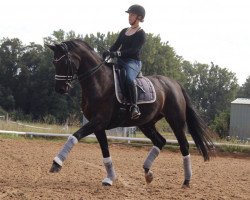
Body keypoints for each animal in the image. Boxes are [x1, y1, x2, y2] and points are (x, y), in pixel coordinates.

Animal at [47, 39, 215, 188]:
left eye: (64, 62)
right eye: (54, 63)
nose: (59, 89)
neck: (99, 82)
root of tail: (174, 83)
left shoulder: (99, 121)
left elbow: (74, 135)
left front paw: (56, 163)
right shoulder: (98, 126)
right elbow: (105, 151)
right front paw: (110, 178)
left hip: (175, 121)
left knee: (184, 146)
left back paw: (186, 181)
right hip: (146, 124)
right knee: (160, 141)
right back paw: (148, 173)